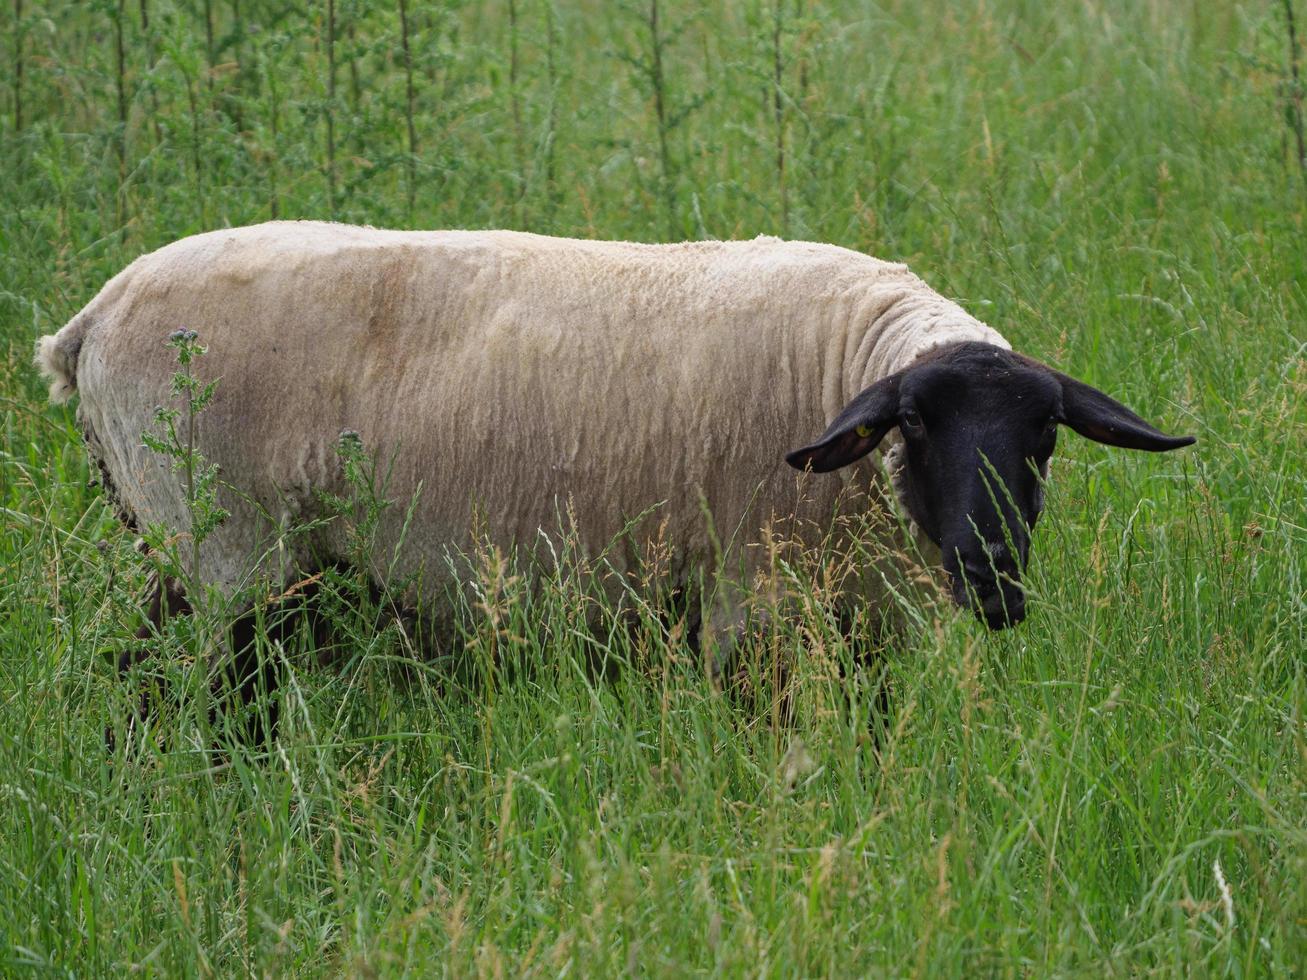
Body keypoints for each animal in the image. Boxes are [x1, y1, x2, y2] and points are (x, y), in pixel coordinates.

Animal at [33, 224, 1197, 721]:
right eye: (911, 425)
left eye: (1044, 437)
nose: (991, 577)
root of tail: (85, 327)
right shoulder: (751, 603)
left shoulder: (864, 620)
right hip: (227, 550)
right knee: (196, 698)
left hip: (204, 556)